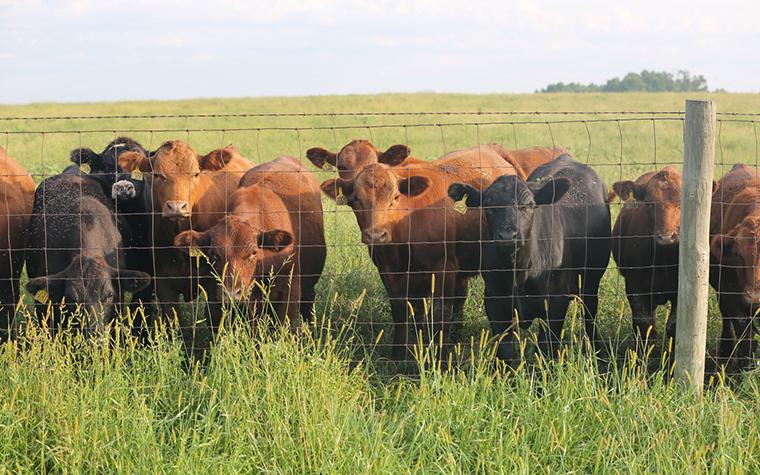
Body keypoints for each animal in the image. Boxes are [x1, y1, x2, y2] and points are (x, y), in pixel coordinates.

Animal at [115, 141, 253, 331]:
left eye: (195, 174)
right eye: (157, 175)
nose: (176, 207)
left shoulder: (214, 284)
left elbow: (213, 319)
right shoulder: (164, 286)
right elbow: (175, 322)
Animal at [320, 145, 520, 359]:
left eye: (395, 198)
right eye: (356, 200)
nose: (376, 235)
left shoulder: (444, 267)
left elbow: (440, 313)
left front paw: (440, 357)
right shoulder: (389, 271)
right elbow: (402, 311)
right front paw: (400, 355)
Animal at [448, 154, 611, 362]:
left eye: (528, 205)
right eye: (490, 206)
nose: (508, 236)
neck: (519, 270)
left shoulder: (556, 301)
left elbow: (546, 346)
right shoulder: (495, 300)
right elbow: (505, 349)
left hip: (590, 283)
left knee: (590, 318)